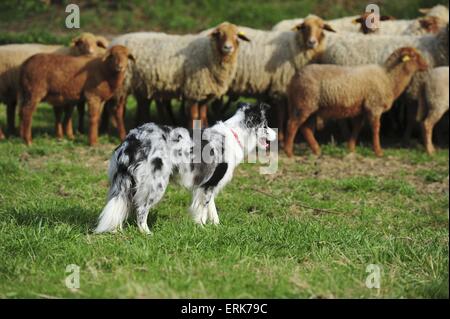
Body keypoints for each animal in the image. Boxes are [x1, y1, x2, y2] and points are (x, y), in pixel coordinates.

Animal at [95, 103, 276, 235]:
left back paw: (117, 230)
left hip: (123, 182)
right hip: (156, 184)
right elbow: (203, 209)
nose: (275, 135)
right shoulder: (208, 185)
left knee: (120, 204)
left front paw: (216, 227)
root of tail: (132, 141)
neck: (236, 134)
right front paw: (202, 227)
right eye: (266, 126)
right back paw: (146, 233)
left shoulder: (207, 184)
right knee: (141, 209)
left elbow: (212, 209)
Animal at [284, 46, 428, 158]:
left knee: (306, 128)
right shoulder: (374, 106)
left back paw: (316, 150)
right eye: (414, 56)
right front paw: (378, 151)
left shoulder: (361, 109)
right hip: (304, 103)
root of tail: (294, 78)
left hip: (311, 107)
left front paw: (351, 148)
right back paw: (289, 153)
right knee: (292, 125)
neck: (388, 78)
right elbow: (376, 129)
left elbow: (357, 128)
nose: (427, 65)